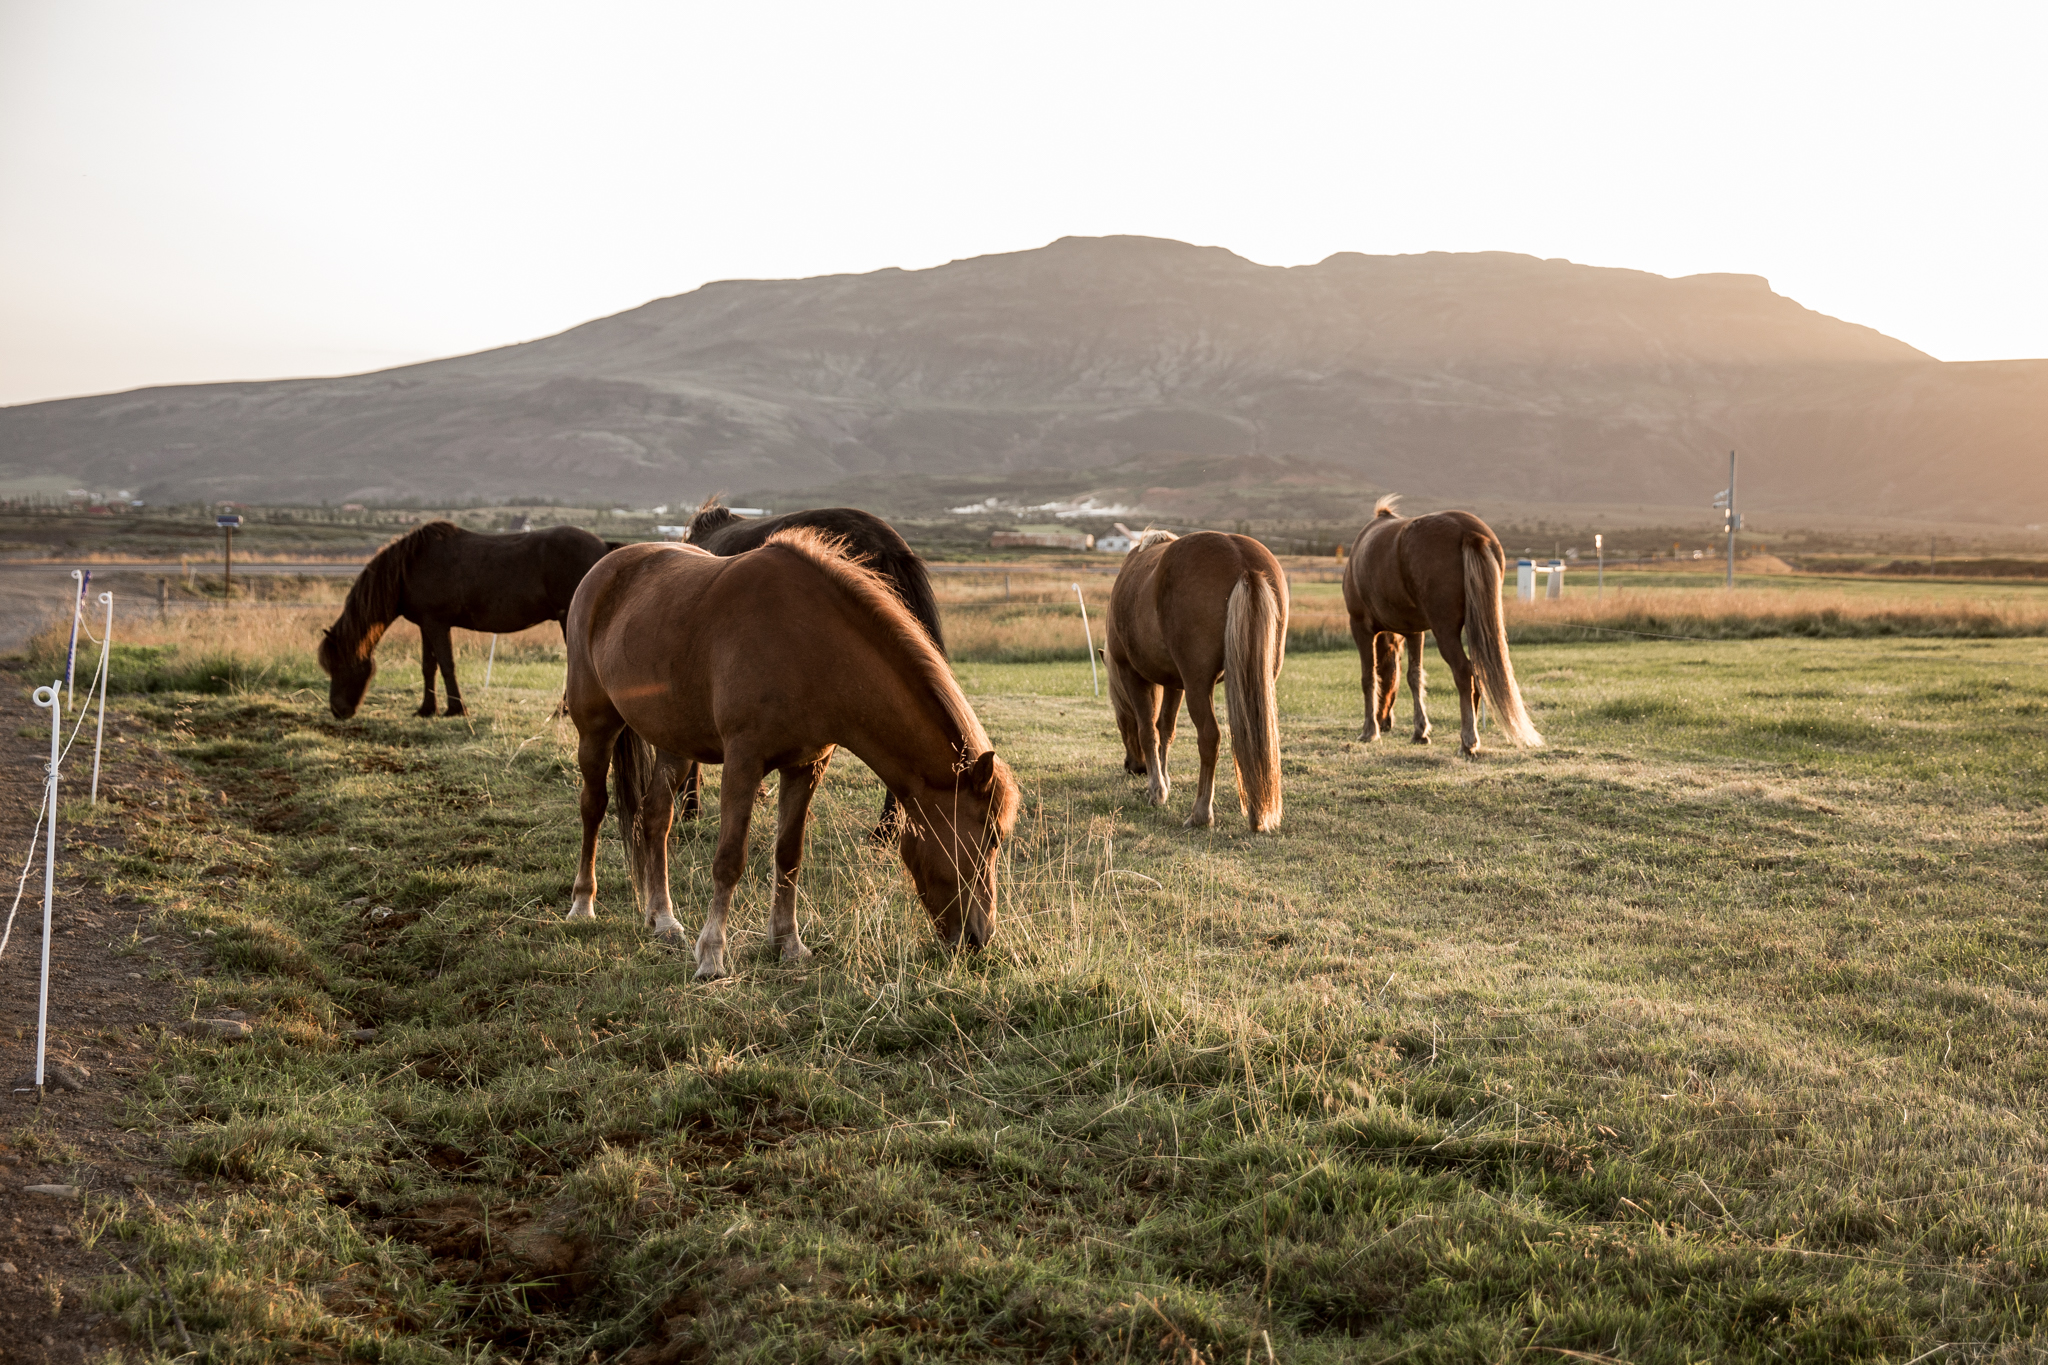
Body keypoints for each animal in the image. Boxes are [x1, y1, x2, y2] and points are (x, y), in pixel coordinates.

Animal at [311, 517, 614, 720]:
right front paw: (426, 709)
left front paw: (456, 708)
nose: (338, 711)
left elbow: (446, 665)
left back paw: (562, 711)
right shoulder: (426, 625)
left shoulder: (437, 624)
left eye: (340, 665)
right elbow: (428, 666)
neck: (409, 567)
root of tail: (604, 546)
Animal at [1114, 532, 1286, 834]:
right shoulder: (1174, 683)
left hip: (1198, 685)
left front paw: (1156, 791)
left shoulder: (1131, 674)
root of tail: (1242, 562)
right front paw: (1164, 781)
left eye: (1119, 719)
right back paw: (1258, 814)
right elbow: (1166, 730)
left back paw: (1200, 813)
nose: (1133, 767)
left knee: (1209, 737)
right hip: (1262, 680)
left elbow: (1148, 731)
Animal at [1343, 497, 1540, 757]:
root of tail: (1469, 532)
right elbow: (1414, 677)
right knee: (1475, 673)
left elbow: (1369, 677)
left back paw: (1468, 741)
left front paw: (1369, 731)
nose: (1385, 722)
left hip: (1444, 631)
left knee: (1463, 671)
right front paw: (1420, 731)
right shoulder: (1414, 632)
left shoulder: (1361, 628)